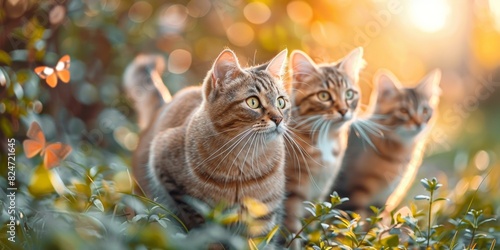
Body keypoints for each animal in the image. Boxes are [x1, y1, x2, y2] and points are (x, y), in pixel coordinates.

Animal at [123, 47, 292, 241]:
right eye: (253, 102)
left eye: (281, 102)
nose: (279, 119)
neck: (245, 162)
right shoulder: (177, 186)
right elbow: (201, 226)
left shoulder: (263, 219)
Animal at [284, 47, 366, 243]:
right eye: (324, 96)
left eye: (349, 94)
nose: (344, 110)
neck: (325, 139)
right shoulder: (292, 192)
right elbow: (292, 230)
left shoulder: (319, 194)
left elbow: (313, 223)